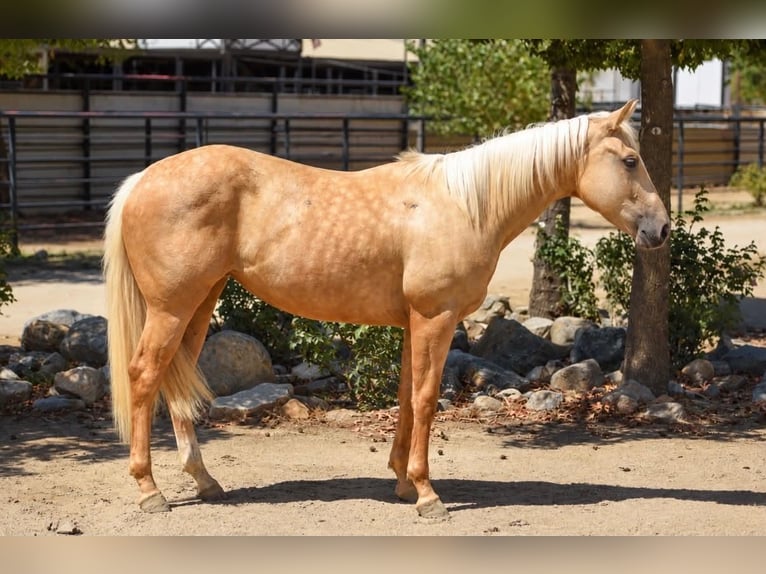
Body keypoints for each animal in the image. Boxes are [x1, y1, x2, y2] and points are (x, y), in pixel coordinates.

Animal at [104, 99, 669, 518]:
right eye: (629, 161)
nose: (661, 229)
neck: (464, 205)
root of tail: (140, 181)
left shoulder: (414, 323)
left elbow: (405, 398)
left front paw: (402, 481)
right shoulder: (435, 319)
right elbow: (426, 400)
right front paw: (427, 495)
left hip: (198, 304)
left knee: (174, 382)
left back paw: (204, 481)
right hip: (171, 308)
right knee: (144, 375)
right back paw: (150, 491)